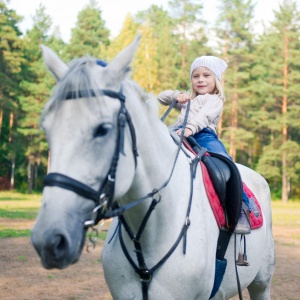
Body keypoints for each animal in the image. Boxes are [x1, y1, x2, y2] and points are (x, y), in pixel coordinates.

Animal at [30, 36, 274, 298]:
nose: (49, 239)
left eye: (103, 129)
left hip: (261, 283)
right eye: (47, 129)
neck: (149, 233)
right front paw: (182, 96)